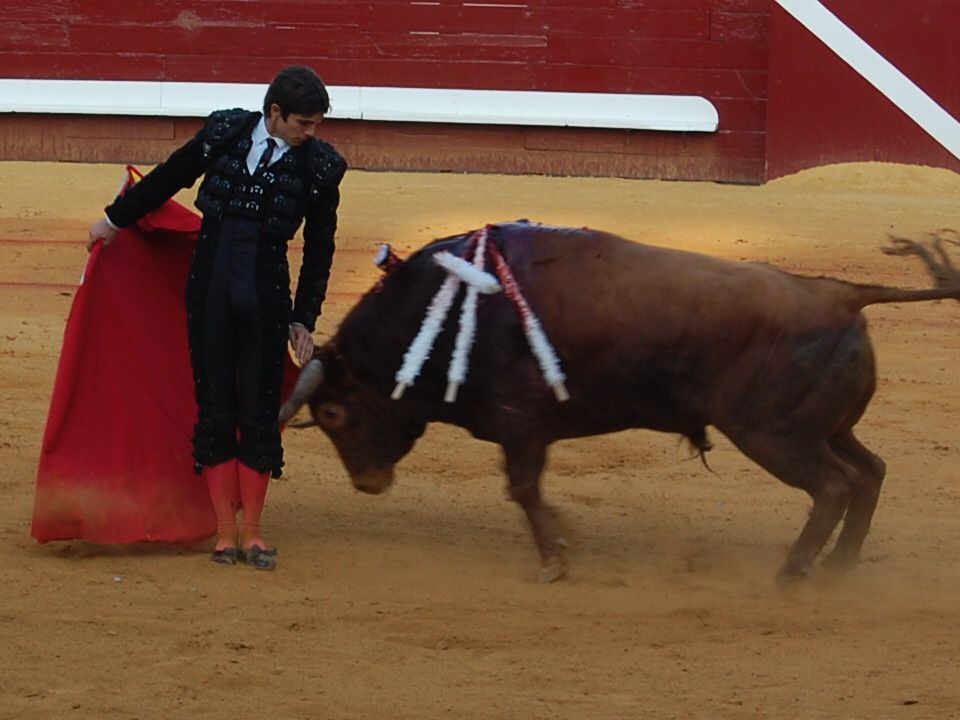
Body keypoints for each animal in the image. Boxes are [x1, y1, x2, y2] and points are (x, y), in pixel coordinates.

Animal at [280, 222, 960, 584]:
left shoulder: (520, 423)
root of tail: (840, 294)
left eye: (334, 414)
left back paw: (792, 574)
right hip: (827, 427)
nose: (367, 482)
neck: (448, 311)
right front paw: (566, 538)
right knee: (869, 472)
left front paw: (553, 561)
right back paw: (840, 566)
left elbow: (522, 487)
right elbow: (532, 491)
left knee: (834, 486)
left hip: (775, 434)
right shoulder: (527, 431)